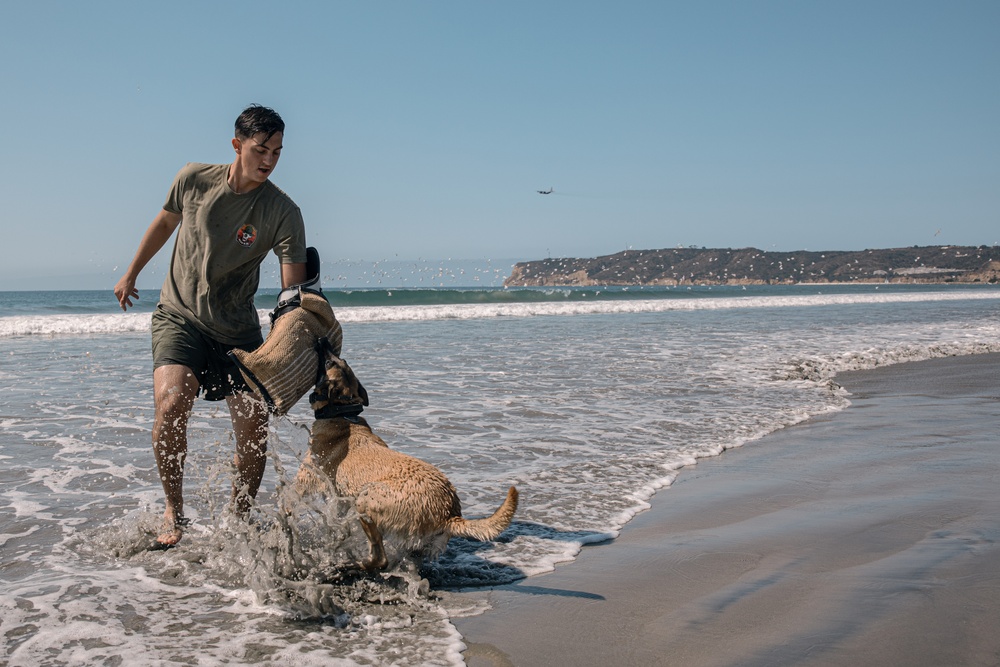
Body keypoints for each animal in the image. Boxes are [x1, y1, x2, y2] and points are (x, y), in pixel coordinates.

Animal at [292, 350, 520, 576]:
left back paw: (344, 566)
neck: (343, 414)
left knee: (379, 559)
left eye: (329, 364)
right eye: (340, 361)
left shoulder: (307, 477)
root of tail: (448, 514)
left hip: (366, 500)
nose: (324, 346)